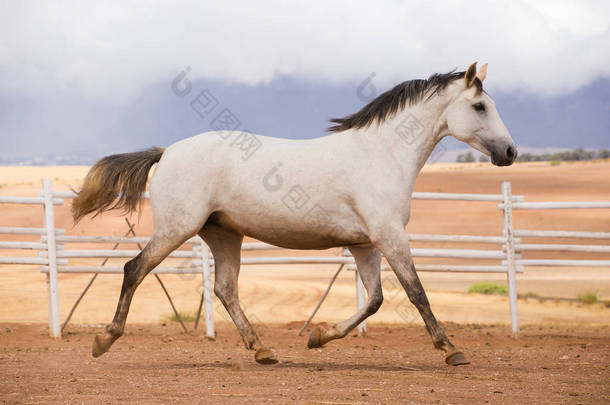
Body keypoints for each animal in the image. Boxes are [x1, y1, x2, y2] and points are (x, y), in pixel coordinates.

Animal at [73, 62, 516, 366]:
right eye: (479, 106)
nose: (510, 152)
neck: (382, 154)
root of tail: (165, 152)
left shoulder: (366, 245)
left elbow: (374, 300)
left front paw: (319, 336)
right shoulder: (390, 235)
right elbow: (416, 291)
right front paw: (451, 349)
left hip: (223, 234)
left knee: (225, 290)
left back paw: (263, 350)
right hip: (177, 228)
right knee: (134, 269)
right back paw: (104, 340)